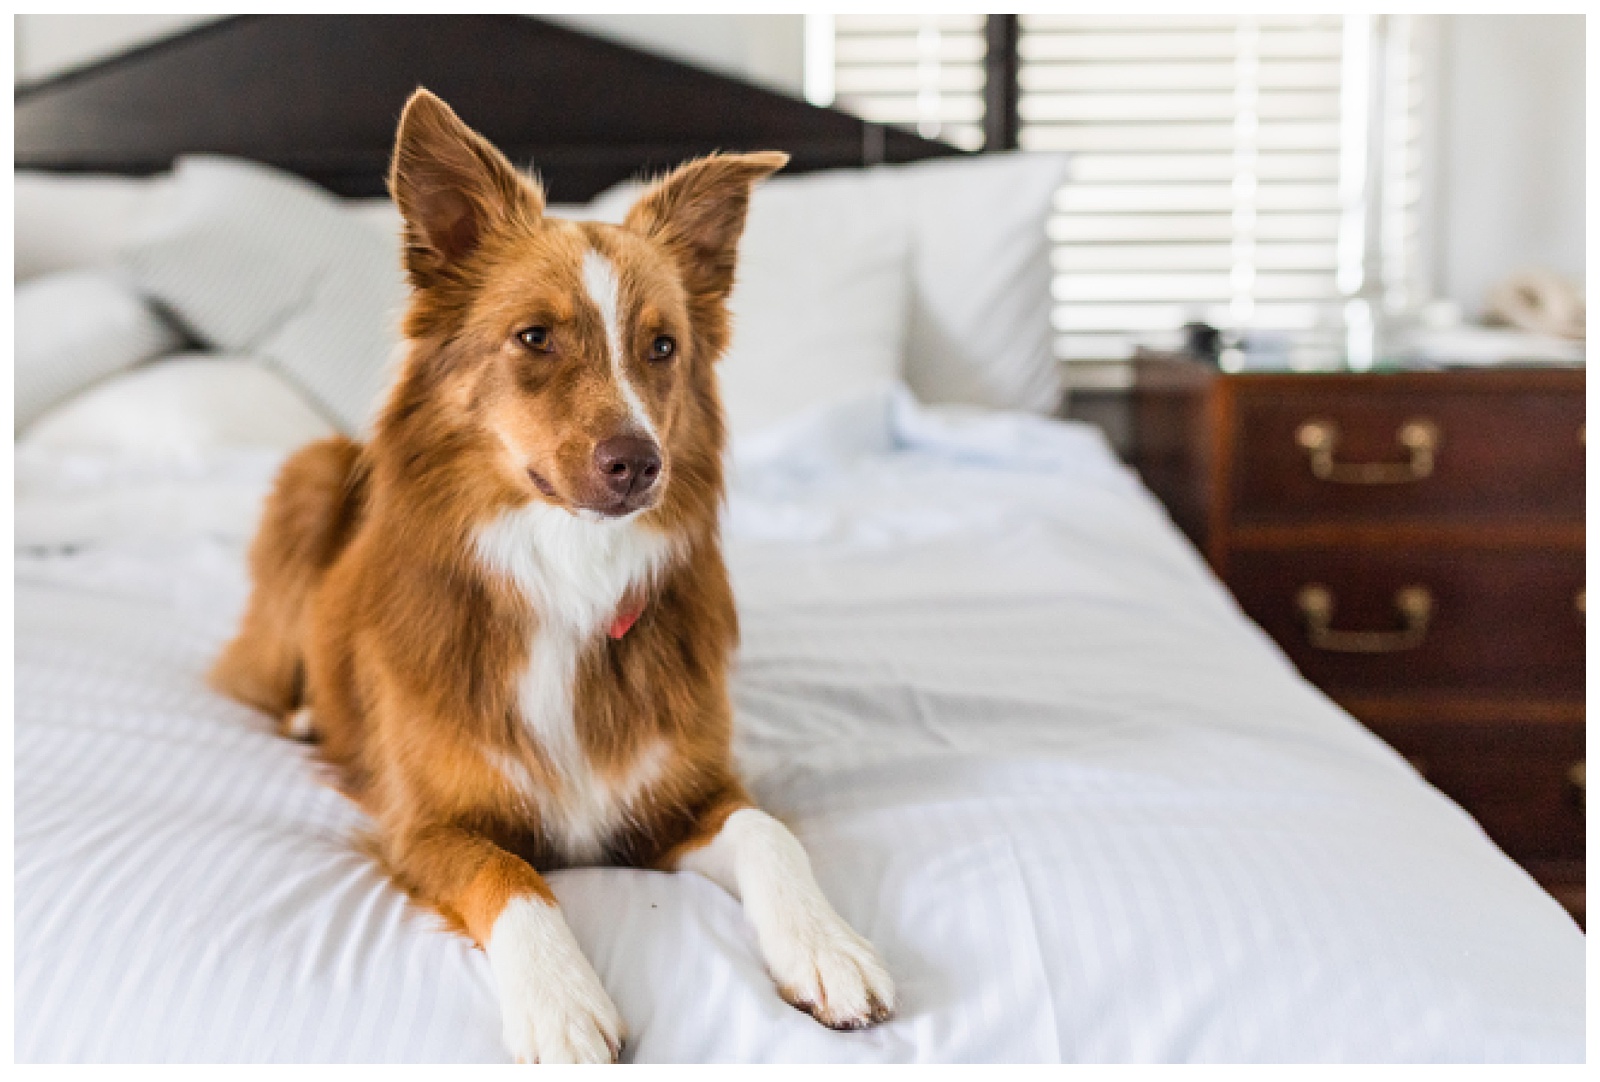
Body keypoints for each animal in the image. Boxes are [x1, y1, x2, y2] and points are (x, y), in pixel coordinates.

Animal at [209, 88, 902, 1062]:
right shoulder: (426, 826)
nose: (639, 463)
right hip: (310, 474)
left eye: (662, 347)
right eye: (534, 337)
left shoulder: (678, 801)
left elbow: (769, 829)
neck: (569, 575)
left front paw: (827, 944)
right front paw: (561, 1002)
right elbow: (511, 876)